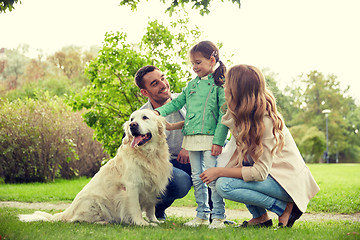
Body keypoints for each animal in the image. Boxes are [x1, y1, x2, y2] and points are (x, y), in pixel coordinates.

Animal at [18, 109, 173, 226]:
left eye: (145, 117)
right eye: (131, 119)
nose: (132, 125)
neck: (149, 155)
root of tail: (67, 211)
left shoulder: (152, 186)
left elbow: (151, 208)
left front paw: (155, 220)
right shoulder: (132, 187)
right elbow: (135, 208)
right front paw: (142, 223)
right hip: (94, 202)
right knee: (77, 220)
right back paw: (103, 222)